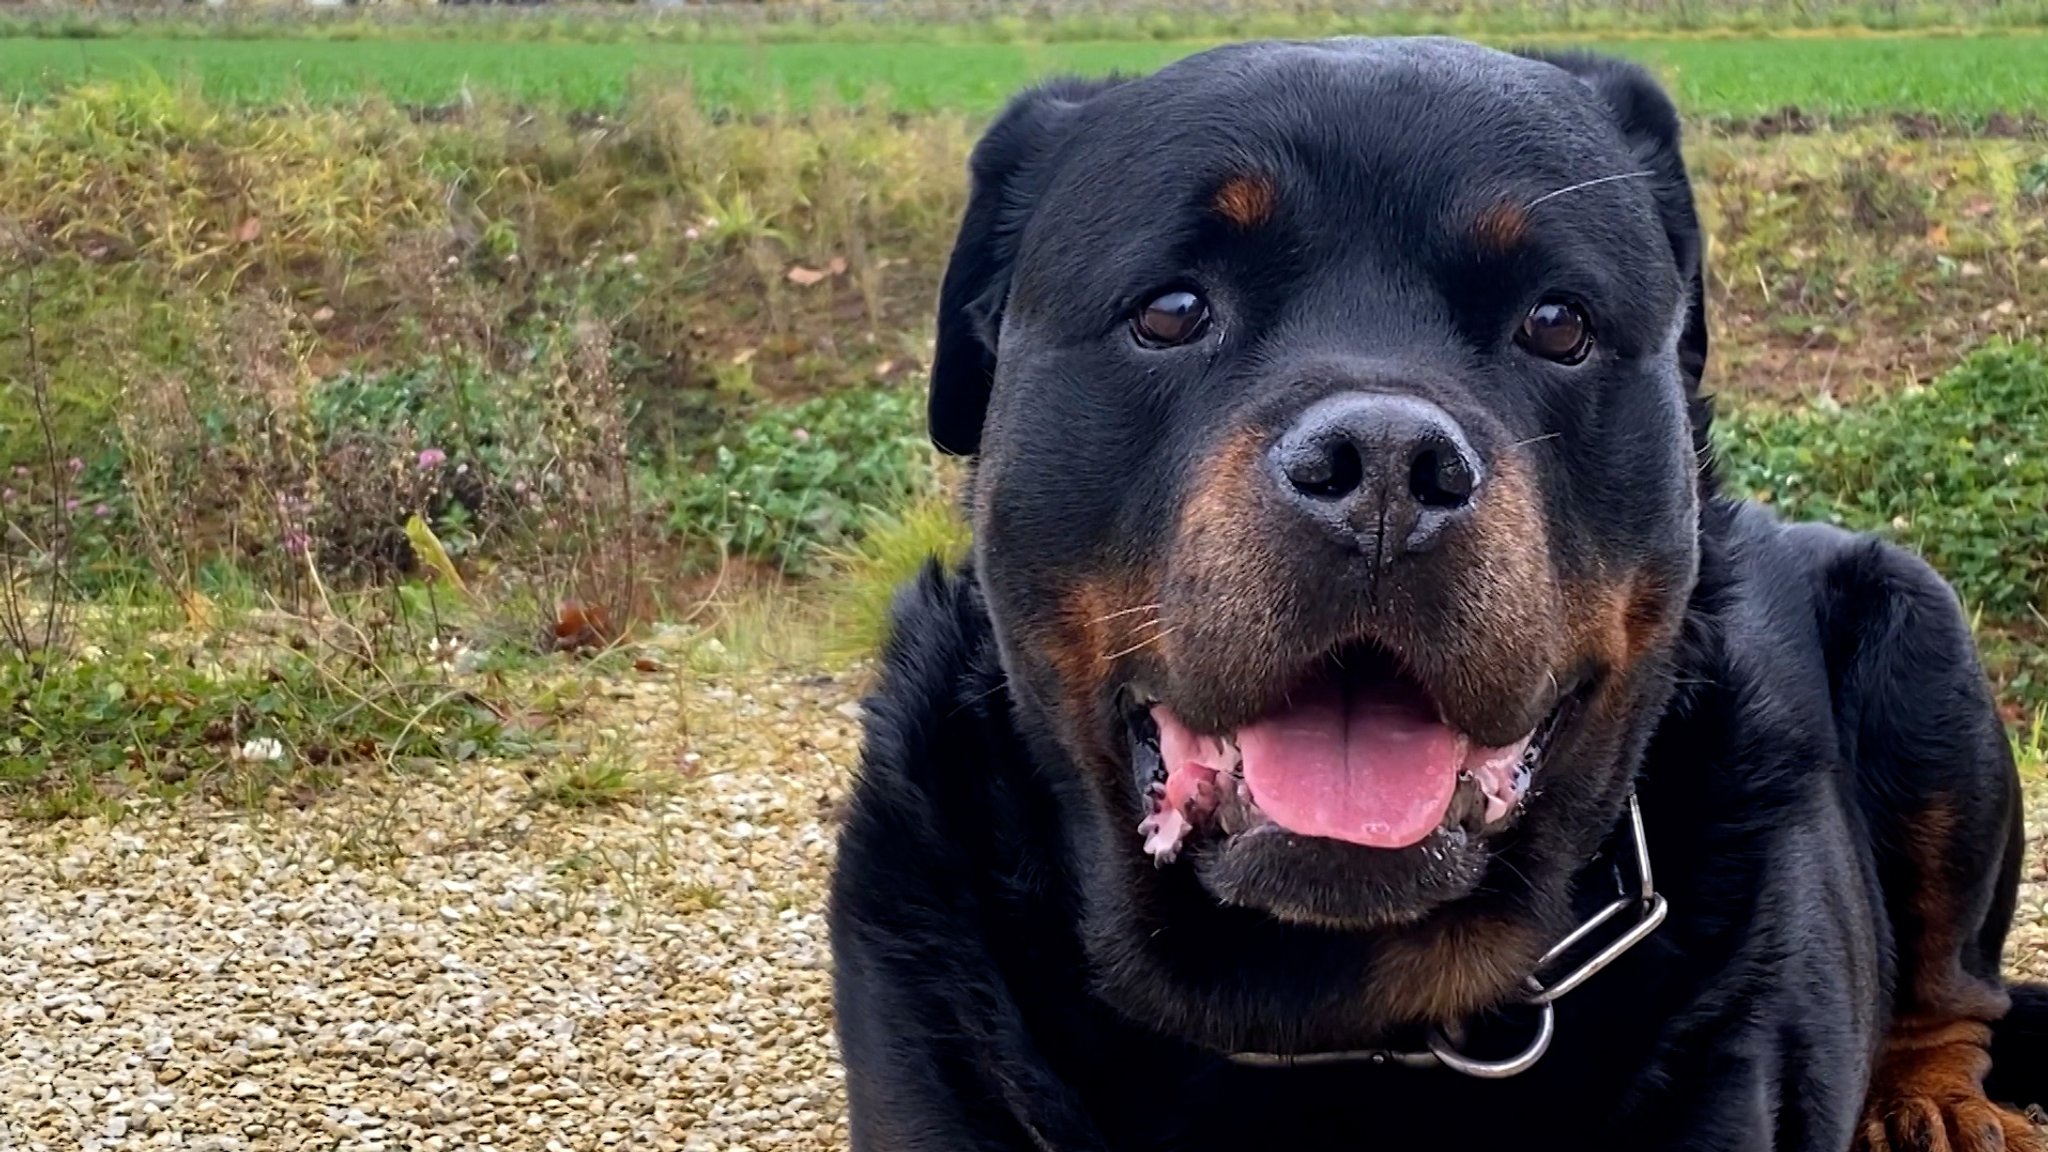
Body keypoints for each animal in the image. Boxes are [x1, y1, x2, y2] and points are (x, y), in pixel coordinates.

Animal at [827, 38, 2048, 1147]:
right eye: (1169, 311)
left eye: (1557, 323)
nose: (1383, 465)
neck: (1322, 1014)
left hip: (1923, 646)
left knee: (1956, 989)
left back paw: (1939, 1104)